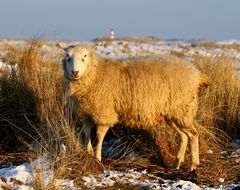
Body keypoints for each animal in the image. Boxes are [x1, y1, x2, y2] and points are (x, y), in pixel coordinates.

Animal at [56, 41, 210, 171]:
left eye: (85, 56)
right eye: (67, 56)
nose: (75, 72)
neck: (95, 73)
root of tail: (196, 73)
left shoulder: (104, 113)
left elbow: (99, 137)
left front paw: (97, 158)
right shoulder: (87, 112)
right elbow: (85, 134)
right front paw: (87, 152)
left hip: (183, 109)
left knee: (193, 134)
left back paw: (193, 165)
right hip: (173, 114)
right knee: (184, 136)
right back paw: (176, 163)